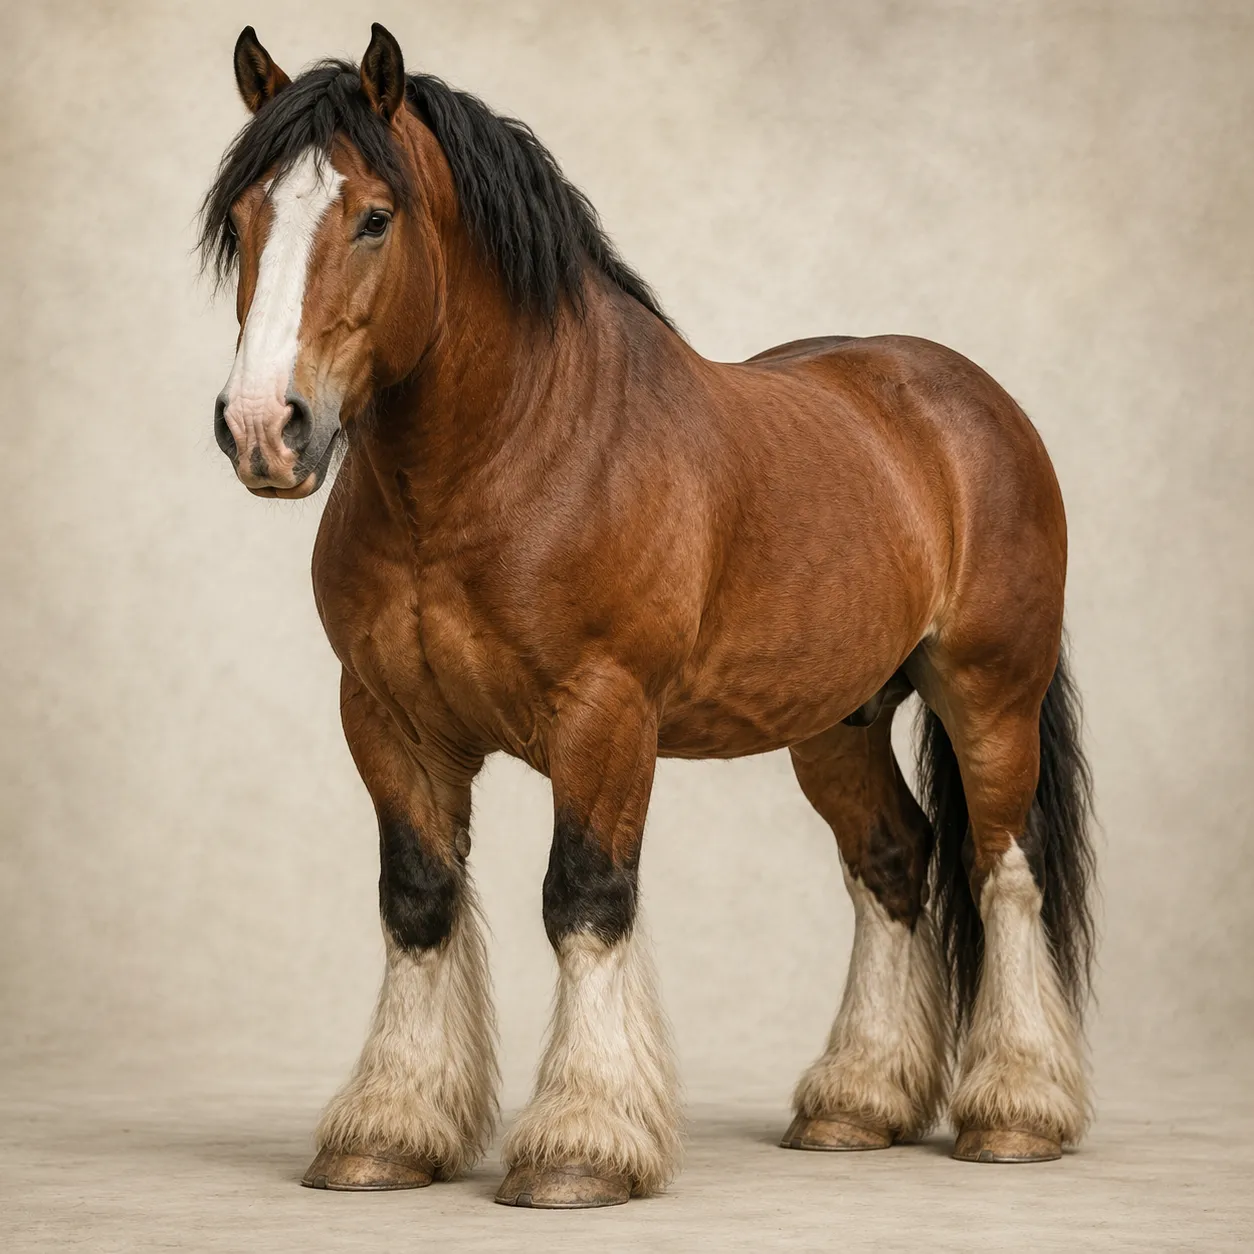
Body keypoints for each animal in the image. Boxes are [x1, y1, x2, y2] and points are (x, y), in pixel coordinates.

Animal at [202, 23, 1096, 1208]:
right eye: (243, 219)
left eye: (374, 217)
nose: (266, 427)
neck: (505, 461)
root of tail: (973, 404)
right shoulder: (390, 720)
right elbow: (418, 901)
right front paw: (386, 1131)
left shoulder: (606, 716)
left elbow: (585, 898)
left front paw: (579, 1145)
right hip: (839, 724)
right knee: (894, 863)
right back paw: (856, 1103)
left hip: (991, 696)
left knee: (1005, 871)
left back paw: (1017, 1111)